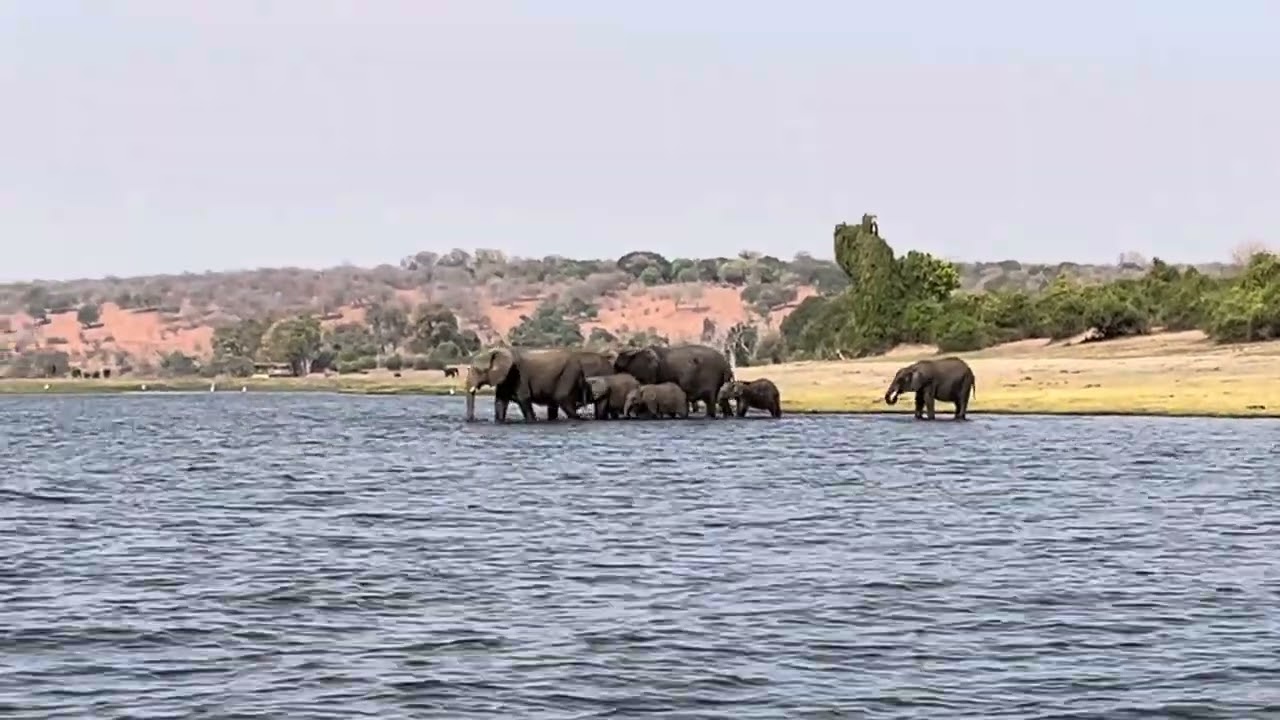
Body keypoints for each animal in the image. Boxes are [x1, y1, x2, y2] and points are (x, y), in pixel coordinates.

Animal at [464, 347, 592, 423]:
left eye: (478, 370)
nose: (473, 419)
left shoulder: (518, 376)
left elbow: (524, 399)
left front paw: (532, 421)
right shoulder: (505, 377)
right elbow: (500, 401)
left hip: (569, 374)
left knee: (562, 399)